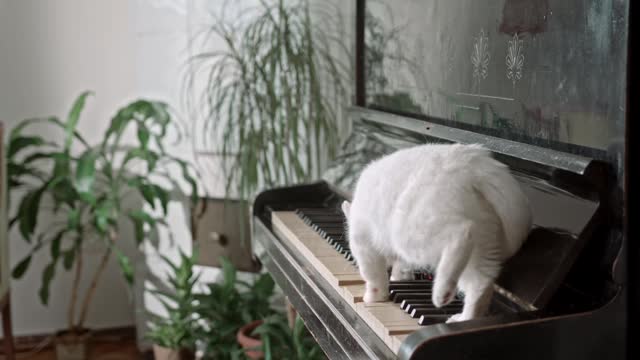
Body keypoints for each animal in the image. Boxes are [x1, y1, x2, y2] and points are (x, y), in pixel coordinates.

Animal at [342, 143, 532, 324]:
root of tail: (474, 164)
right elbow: (401, 266)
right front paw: (399, 277)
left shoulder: (363, 244)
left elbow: (373, 275)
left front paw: (374, 296)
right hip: (483, 243)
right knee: (480, 282)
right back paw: (464, 317)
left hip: (413, 232)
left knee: (461, 233)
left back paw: (441, 293)